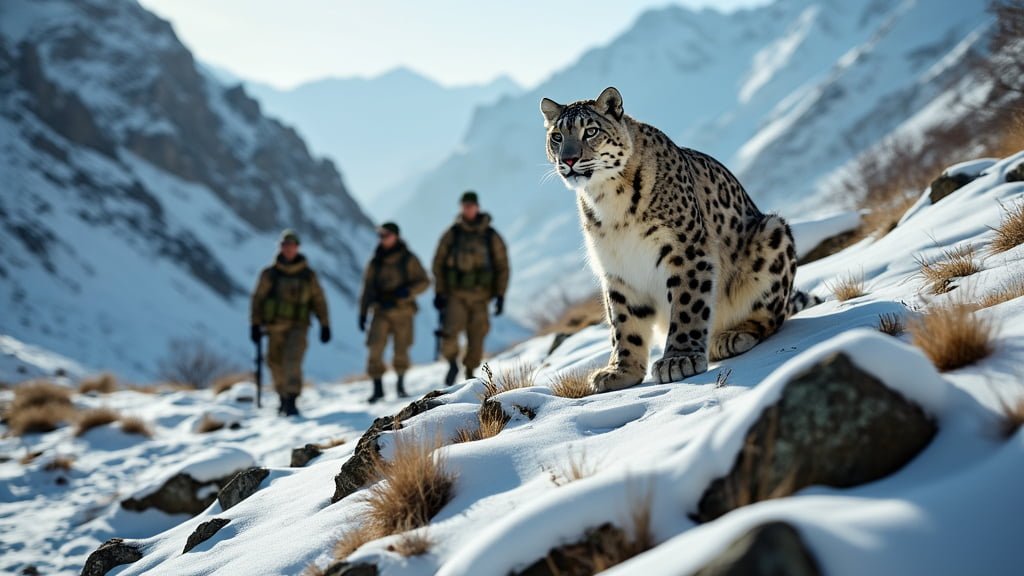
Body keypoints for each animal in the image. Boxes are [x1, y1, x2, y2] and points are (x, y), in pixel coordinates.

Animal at [540, 86, 819, 389]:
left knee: (772, 317)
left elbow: (687, 305)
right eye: (557, 136)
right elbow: (623, 322)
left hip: (773, 233)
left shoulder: (685, 250)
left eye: (590, 131)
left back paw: (730, 337)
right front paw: (620, 371)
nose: (568, 160)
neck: (608, 200)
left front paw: (678, 360)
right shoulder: (616, 269)